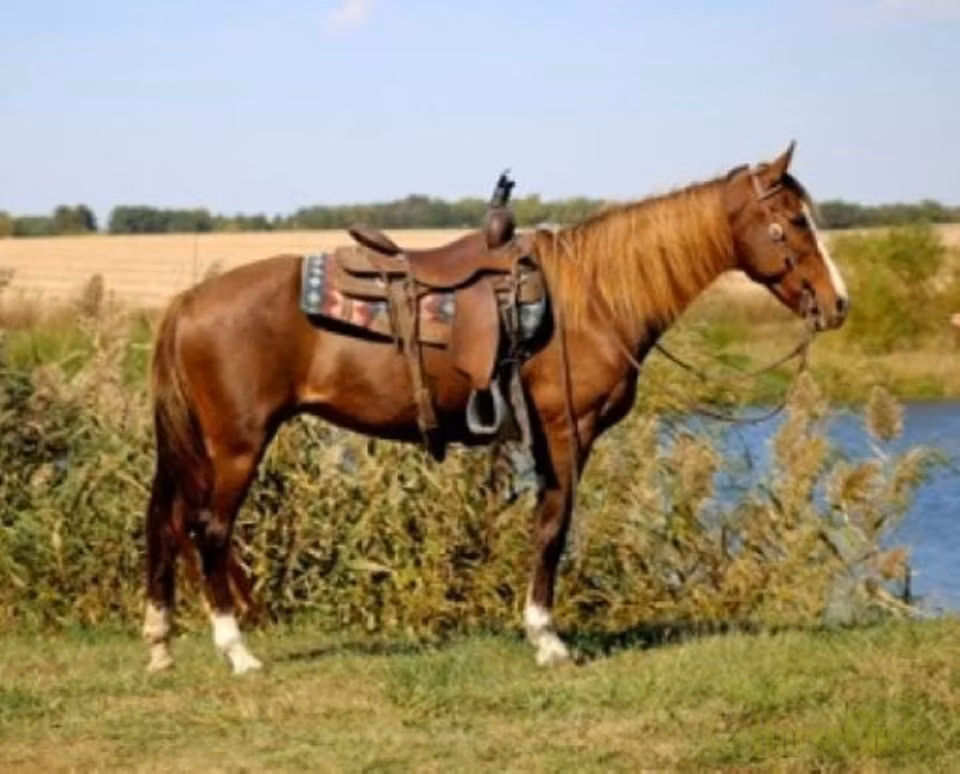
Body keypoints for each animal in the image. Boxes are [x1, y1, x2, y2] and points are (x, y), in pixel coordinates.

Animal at [142, 142, 849, 674]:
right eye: (793, 221)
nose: (838, 303)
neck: (590, 297)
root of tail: (189, 302)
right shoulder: (567, 432)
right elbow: (553, 527)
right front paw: (547, 639)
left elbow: (544, 525)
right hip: (238, 443)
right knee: (209, 530)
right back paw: (237, 652)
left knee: (169, 524)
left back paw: (160, 643)